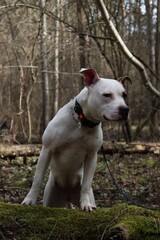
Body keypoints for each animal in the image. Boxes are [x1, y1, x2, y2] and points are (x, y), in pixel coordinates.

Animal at [21, 68, 131, 211]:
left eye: (124, 95)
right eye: (107, 95)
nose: (125, 109)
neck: (83, 121)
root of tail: (67, 195)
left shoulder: (92, 156)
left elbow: (86, 185)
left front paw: (86, 204)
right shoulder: (47, 149)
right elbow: (38, 178)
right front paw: (29, 200)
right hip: (51, 198)